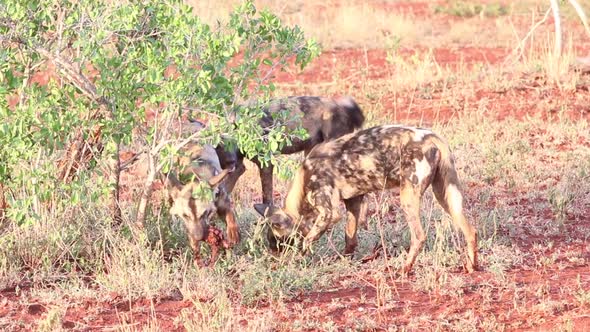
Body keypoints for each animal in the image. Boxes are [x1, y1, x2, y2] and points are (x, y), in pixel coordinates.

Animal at [254, 123, 480, 274]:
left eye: (280, 244)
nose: (274, 261)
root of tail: (432, 137)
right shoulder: (354, 203)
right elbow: (350, 239)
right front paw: (344, 260)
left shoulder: (329, 213)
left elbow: (307, 241)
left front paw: (293, 261)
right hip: (446, 195)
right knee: (470, 230)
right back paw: (472, 266)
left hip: (408, 197)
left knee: (419, 236)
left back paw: (404, 269)